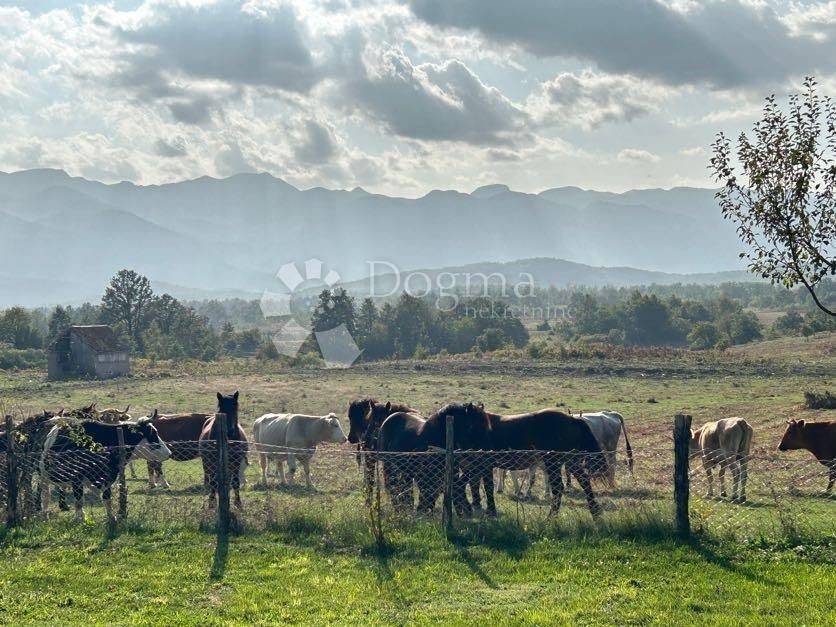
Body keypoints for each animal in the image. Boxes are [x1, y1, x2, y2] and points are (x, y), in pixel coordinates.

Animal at [40, 418, 171, 521]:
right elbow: (79, 500)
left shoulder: (108, 477)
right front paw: (80, 518)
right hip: (44, 475)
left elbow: (107, 498)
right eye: (153, 435)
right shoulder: (77, 477)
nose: (169, 453)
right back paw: (45, 514)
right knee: (45, 496)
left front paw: (111, 517)